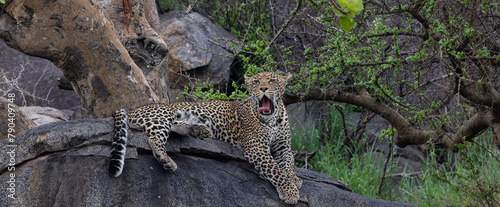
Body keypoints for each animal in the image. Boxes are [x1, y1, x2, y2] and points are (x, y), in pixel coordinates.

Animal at [108, 72, 300, 205]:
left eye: (272, 81)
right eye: (256, 82)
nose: (263, 89)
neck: (273, 119)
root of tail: (133, 109)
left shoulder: (283, 147)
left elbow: (288, 163)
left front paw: (294, 179)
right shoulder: (256, 147)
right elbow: (275, 170)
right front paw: (289, 192)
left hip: (176, 117)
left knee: (176, 127)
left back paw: (200, 131)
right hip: (161, 116)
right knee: (154, 138)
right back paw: (166, 160)